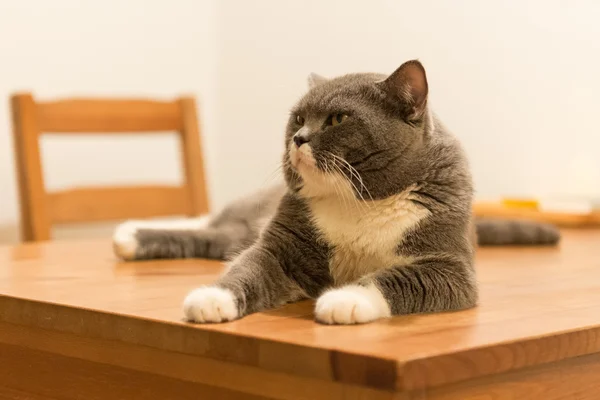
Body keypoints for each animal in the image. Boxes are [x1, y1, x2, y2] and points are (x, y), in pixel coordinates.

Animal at [115, 60, 560, 324]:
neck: (360, 202)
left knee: (218, 234)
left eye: (338, 119)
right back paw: (129, 233)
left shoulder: (451, 268)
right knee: (216, 225)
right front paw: (212, 298)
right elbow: (248, 266)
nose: (298, 138)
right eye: (298, 117)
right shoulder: (282, 242)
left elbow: (397, 278)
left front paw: (344, 300)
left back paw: (129, 236)